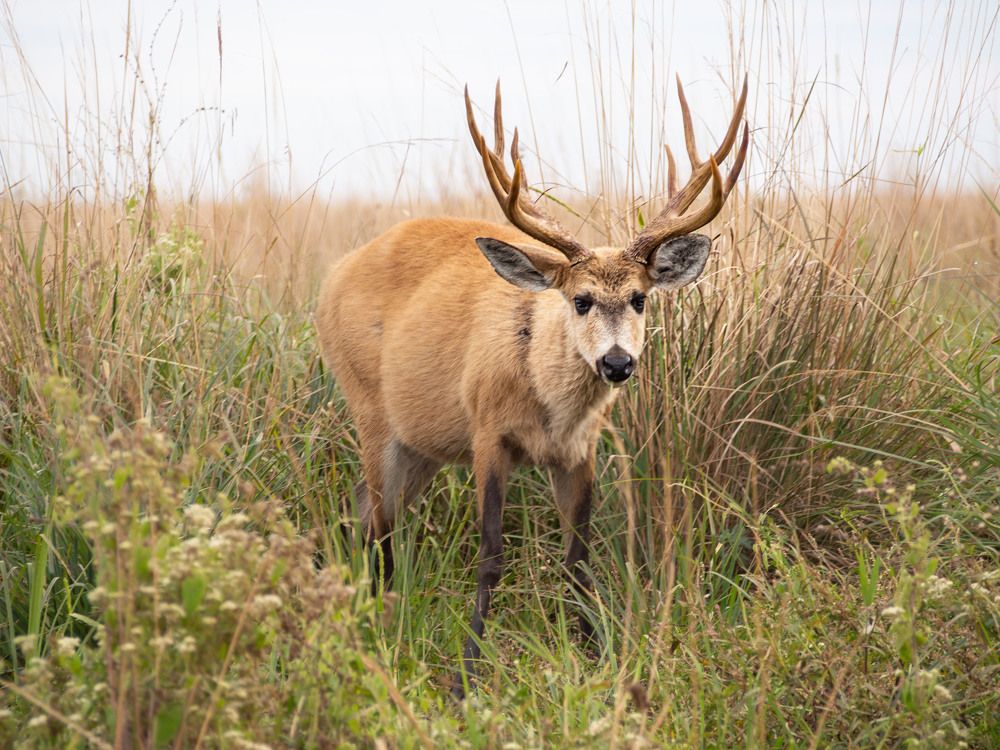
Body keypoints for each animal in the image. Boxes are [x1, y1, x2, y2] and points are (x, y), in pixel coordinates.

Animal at [315, 77, 747, 698]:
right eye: (581, 299)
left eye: (640, 298)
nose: (618, 362)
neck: (548, 407)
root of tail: (333, 276)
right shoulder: (488, 435)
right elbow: (492, 554)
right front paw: (466, 675)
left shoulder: (581, 452)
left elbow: (580, 558)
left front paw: (596, 657)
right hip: (369, 409)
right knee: (378, 527)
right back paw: (380, 625)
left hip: (420, 447)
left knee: (361, 517)